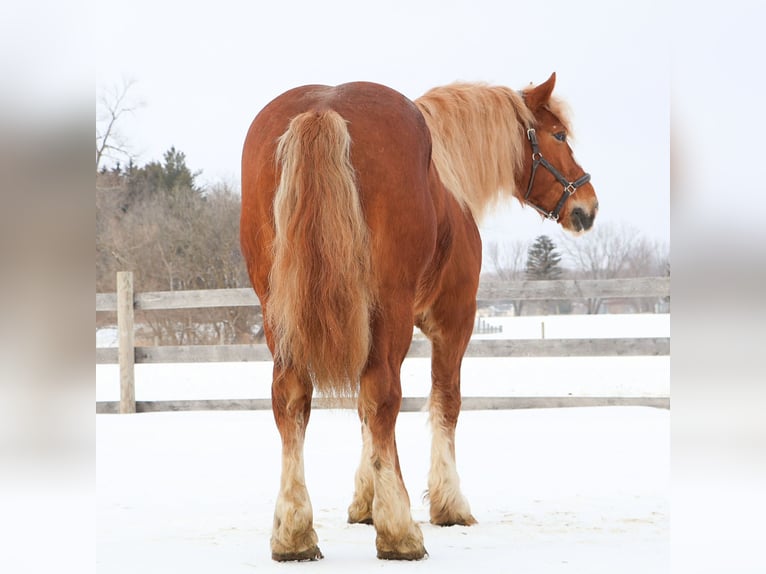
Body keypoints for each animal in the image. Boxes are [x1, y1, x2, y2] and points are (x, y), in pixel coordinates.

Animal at [240, 73, 598, 561]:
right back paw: (399, 532)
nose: (588, 206)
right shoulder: (453, 320)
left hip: (280, 312)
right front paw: (448, 504)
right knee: (382, 396)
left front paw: (364, 502)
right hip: (387, 310)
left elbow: (362, 411)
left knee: (291, 397)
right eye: (559, 135)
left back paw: (293, 533)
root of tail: (322, 111)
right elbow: (445, 402)